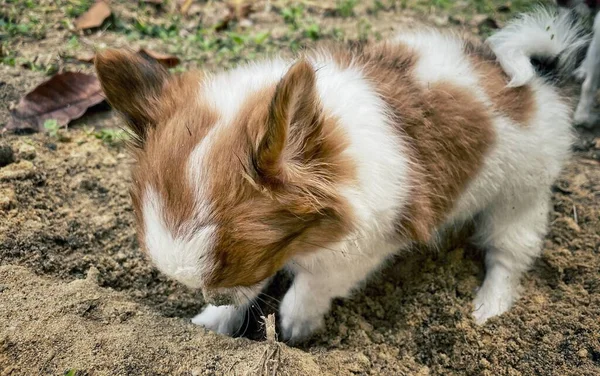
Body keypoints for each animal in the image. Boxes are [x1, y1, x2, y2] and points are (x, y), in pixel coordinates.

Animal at [97, 8, 584, 344]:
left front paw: (295, 318)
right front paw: (215, 321)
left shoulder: (368, 245)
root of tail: (539, 80)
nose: (215, 298)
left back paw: (489, 309)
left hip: (518, 199)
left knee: (508, 257)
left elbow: (317, 282)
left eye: (248, 263)